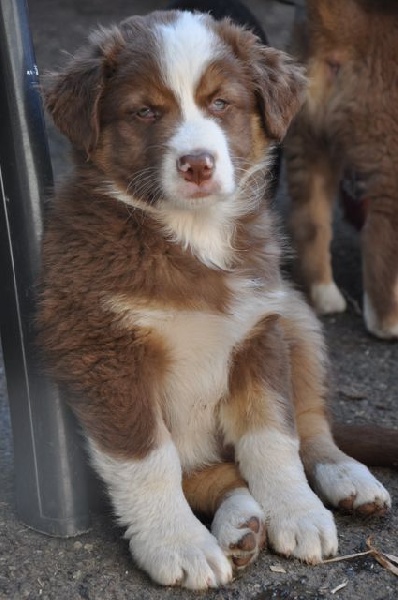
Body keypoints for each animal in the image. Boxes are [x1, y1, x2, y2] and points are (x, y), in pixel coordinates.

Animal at [284, 0, 398, 338]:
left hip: (306, 143)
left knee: (310, 222)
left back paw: (324, 296)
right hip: (387, 156)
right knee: (379, 240)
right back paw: (387, 322)